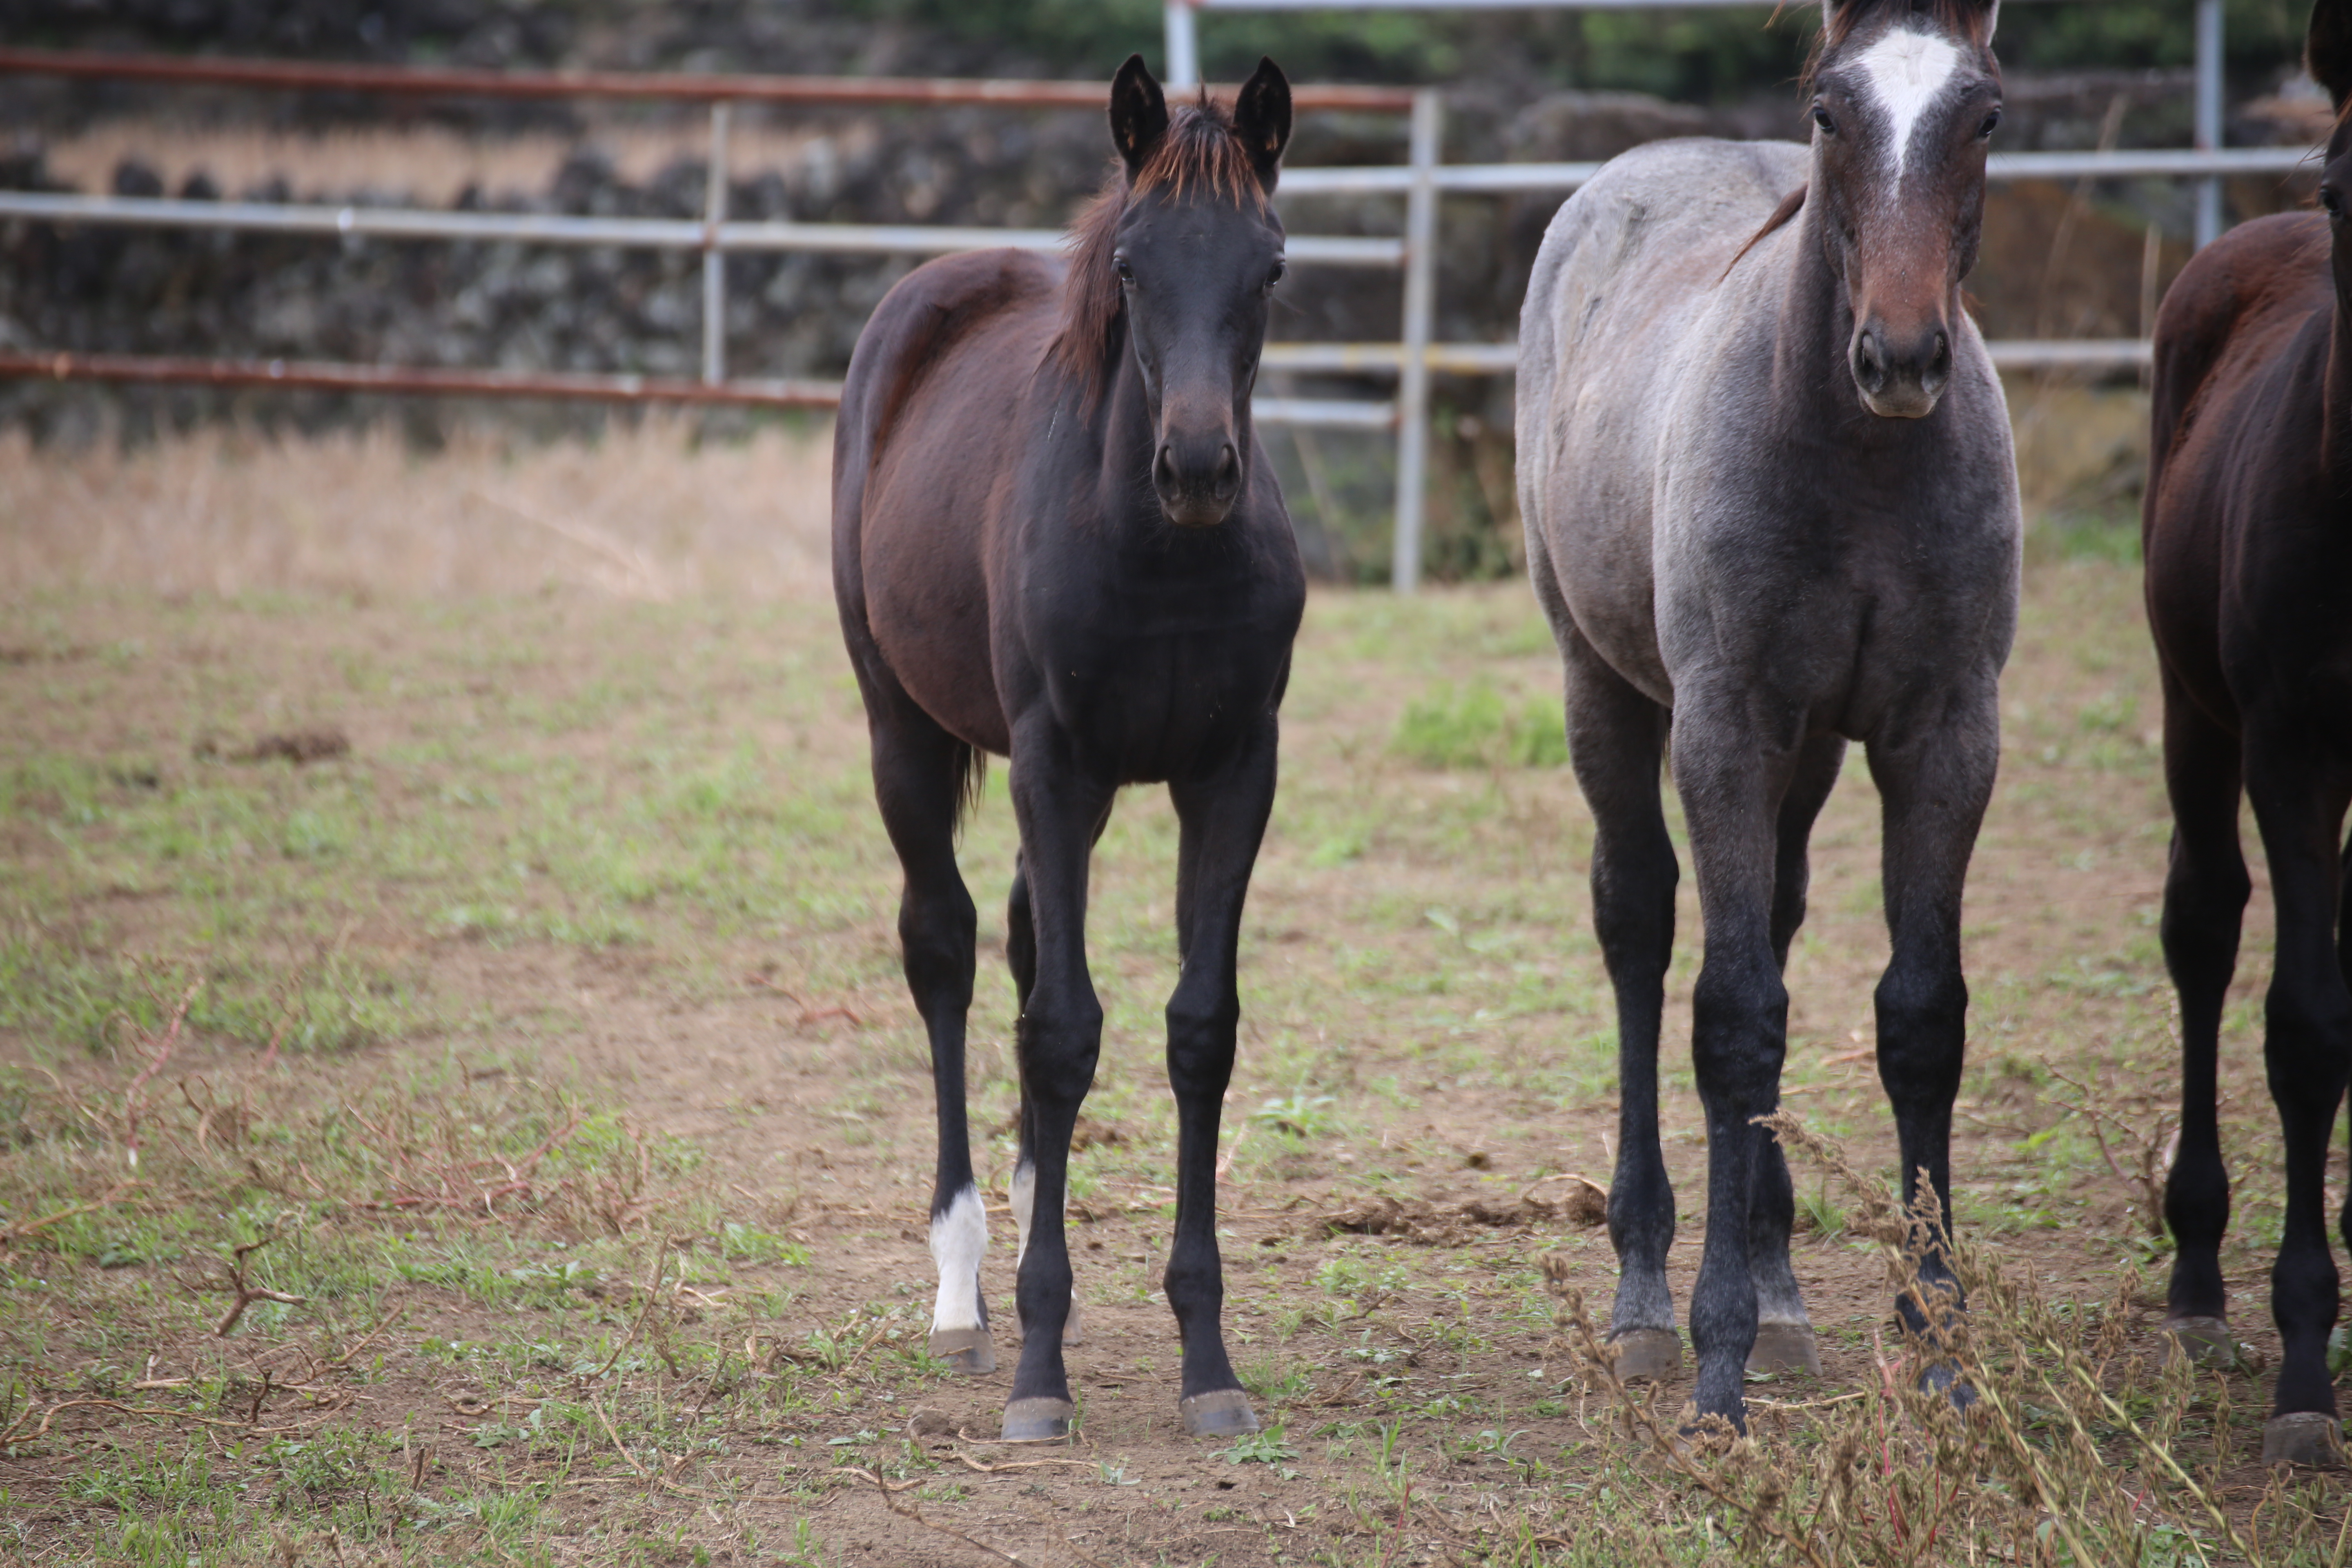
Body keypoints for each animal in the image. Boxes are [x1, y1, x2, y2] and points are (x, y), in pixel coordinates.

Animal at [828, 55, 1307, 1439]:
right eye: (1135, 266)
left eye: (1269, 265)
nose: (1196, 466)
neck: (1160, 558)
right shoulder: (1054, 762)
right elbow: (1058, 1032)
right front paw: (1039, 1367)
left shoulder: (1233, 772)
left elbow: (1195, 1028)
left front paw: (1209, 1359)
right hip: (902, 729)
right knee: (944, 950)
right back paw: (964, 1291)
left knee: (1029, 940)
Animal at [1524, 0, 2022, 1429]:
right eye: (1828, 111)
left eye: (1983, 113)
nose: (1902, 355)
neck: (1859, 459)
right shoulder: (1726, 731)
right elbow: (1734, 1017)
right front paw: (1716, 1361)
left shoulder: (1946, 738)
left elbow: (1921, 1017)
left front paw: (1940, 1344)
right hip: (1604, 688)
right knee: (1639, 929)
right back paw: (1645, 1293)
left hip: (1808, 755)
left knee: (1785, 927)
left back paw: (1783, 1278)